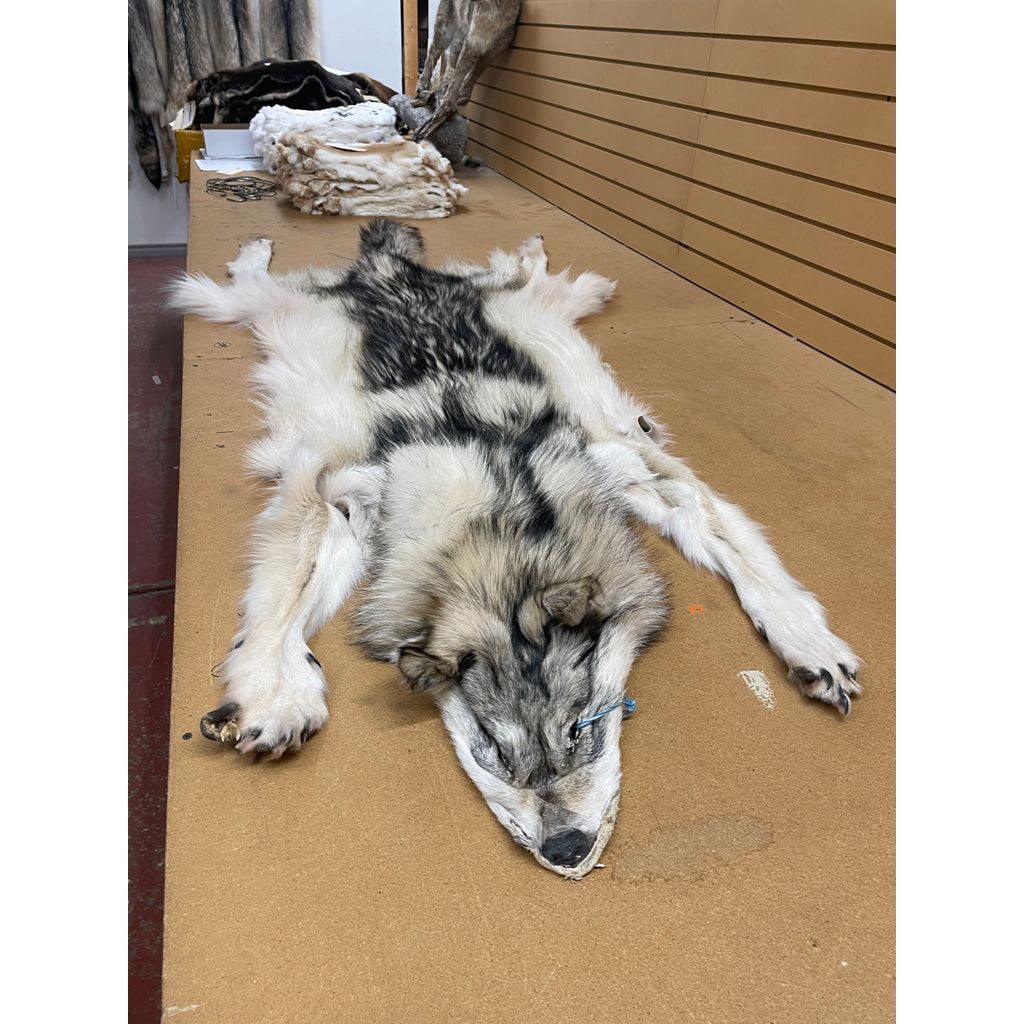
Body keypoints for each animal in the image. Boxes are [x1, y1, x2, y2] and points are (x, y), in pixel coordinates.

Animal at [168, 220, 860, 879]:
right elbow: (278, 605)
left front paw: (810, 645)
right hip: (249, 306)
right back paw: (258, 245)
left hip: (544, 310)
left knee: (535, 276)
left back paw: (535, 249)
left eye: (582, 729)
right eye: (495, 750)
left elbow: (749, 556)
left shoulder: (635, 462)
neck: (505, 521)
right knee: (245, 278)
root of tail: (388, 269)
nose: (566, 851)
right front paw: (276, 694)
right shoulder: (328, 492)